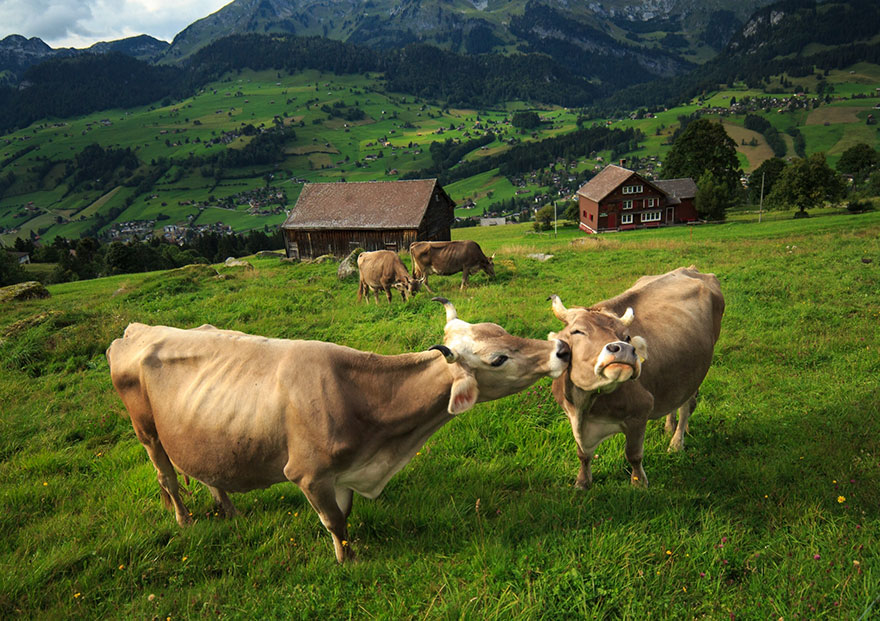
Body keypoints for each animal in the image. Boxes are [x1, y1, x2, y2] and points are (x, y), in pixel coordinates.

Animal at [106, 299, 571, 563]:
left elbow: (345, 517)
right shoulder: (308, 474)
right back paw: (184, 521)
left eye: (501, 330)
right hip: (147, 433)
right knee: (167, 477)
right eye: (498, 358)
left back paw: (230, 512)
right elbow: (333, 521)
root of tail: (136, 329)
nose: (562, 349)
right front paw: (346, 563)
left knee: (207, 473)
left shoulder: (346, 472)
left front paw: (351, 552)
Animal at [547, 266, 724, 489]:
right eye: (577, 331)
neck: (584, 404)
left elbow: (633, 455)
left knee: (687, 407)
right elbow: (583, 454)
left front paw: (639, 483)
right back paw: (669, 427)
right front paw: (582, 482)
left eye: (626, 336)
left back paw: (676, 443)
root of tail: (689, 269)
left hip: (697, 371)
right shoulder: (572, 417)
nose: (623, 349)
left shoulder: (640, 412)